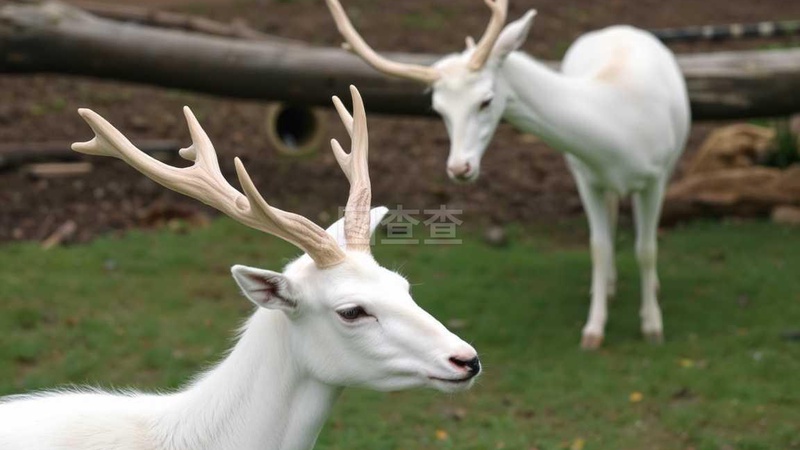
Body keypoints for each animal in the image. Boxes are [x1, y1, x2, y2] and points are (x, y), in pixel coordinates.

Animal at [326, 0, 691, 349]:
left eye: (486, 101)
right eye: (438, 109)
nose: (459, 168)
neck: (619, 135)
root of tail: (618, 28)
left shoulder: (657, 176)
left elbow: (647, 249)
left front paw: (652, 327)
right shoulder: (584, 176)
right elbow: (598, 247)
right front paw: (593, 331)